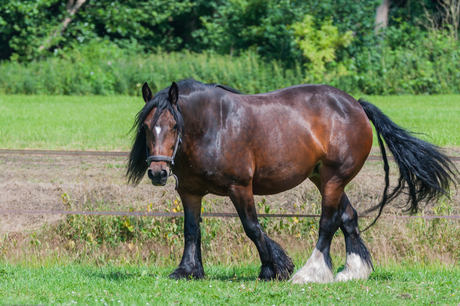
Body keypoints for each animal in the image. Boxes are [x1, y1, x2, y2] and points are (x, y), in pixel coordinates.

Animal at [126, 79, 456, 284]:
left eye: (173, 125)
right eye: (146, 126)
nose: (158, 173)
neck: (211, 126)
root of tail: (356, 105)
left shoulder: (240, 187)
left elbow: (252, 227)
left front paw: (273, 268)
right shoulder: (190, 192)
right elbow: (191, 229)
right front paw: (188, 270)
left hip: (334, 178)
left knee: (328, 222)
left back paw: (311, 273)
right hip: (322, 177)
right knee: (348, 217)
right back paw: (353, 270)